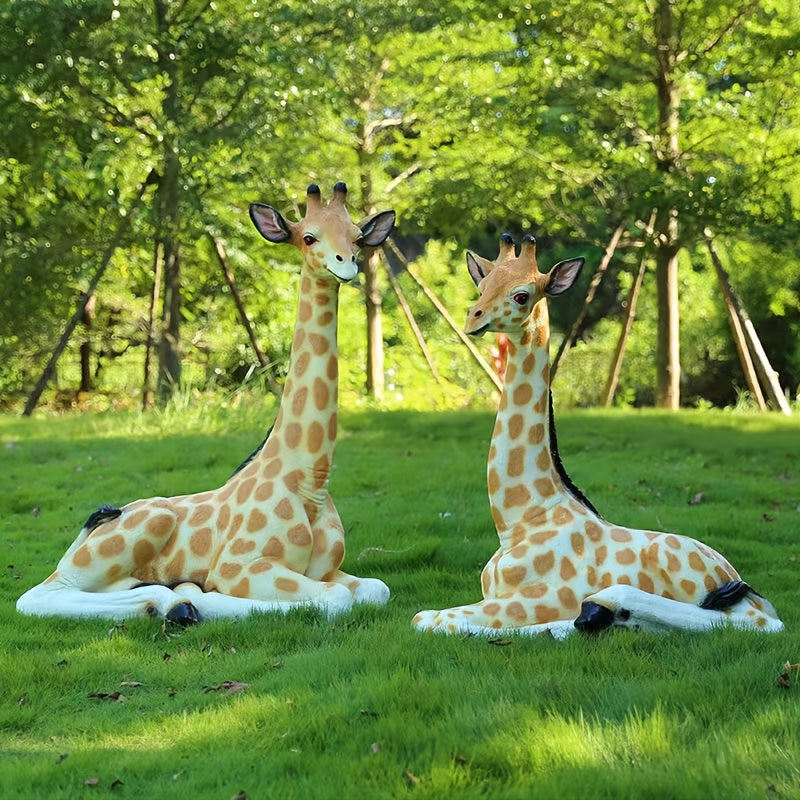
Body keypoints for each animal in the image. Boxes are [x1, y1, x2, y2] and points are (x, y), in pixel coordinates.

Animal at [17, 182, 396, 624]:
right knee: (38, 595)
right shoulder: (239, 566)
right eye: (308, 237)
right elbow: (336, 600)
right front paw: (198, 599)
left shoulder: (329, 569)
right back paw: (171, 602)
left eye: (357, 238)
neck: (309, 482)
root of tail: (89, 532)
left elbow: (375, 589)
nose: (347, 265)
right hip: (146, 525)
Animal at [412, 233, 783, 638]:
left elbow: (426, 619)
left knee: (756, 623)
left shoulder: (541, 596)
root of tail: (736, 574)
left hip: (691, 572)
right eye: (482, 286)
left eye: (522, 295)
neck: (518, 521)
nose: (472, 318)